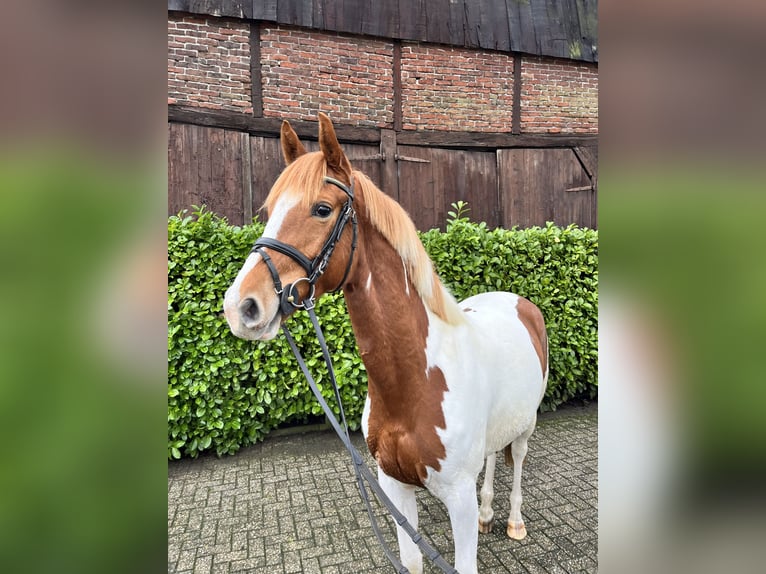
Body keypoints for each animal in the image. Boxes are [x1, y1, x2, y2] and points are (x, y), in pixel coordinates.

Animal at [224, 113, 552, 574]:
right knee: (491, 457)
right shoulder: (393, 486)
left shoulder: (458, 499)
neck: (415, 382)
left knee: (517, 459)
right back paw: (489, 514)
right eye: (269, 212)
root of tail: (519, 302)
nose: (241, 306)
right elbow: (411, 562)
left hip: (529, 423)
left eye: (321, 209)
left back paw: (514, 522)